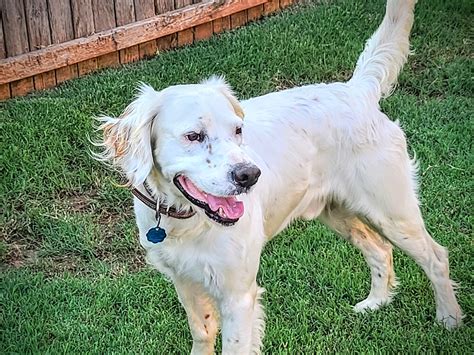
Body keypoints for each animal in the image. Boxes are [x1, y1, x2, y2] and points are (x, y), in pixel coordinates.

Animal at [93, 0, 462, 354]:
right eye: (193, 136)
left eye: (238, 130)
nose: (250, 175)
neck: (184, 219)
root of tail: (356, 90)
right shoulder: (184, 281)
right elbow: (201, 334)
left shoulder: (239, 295)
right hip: (338, 212)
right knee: (380, 249)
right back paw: (375, 302)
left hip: (393, 210)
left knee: (436, 256)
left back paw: (450, 320)